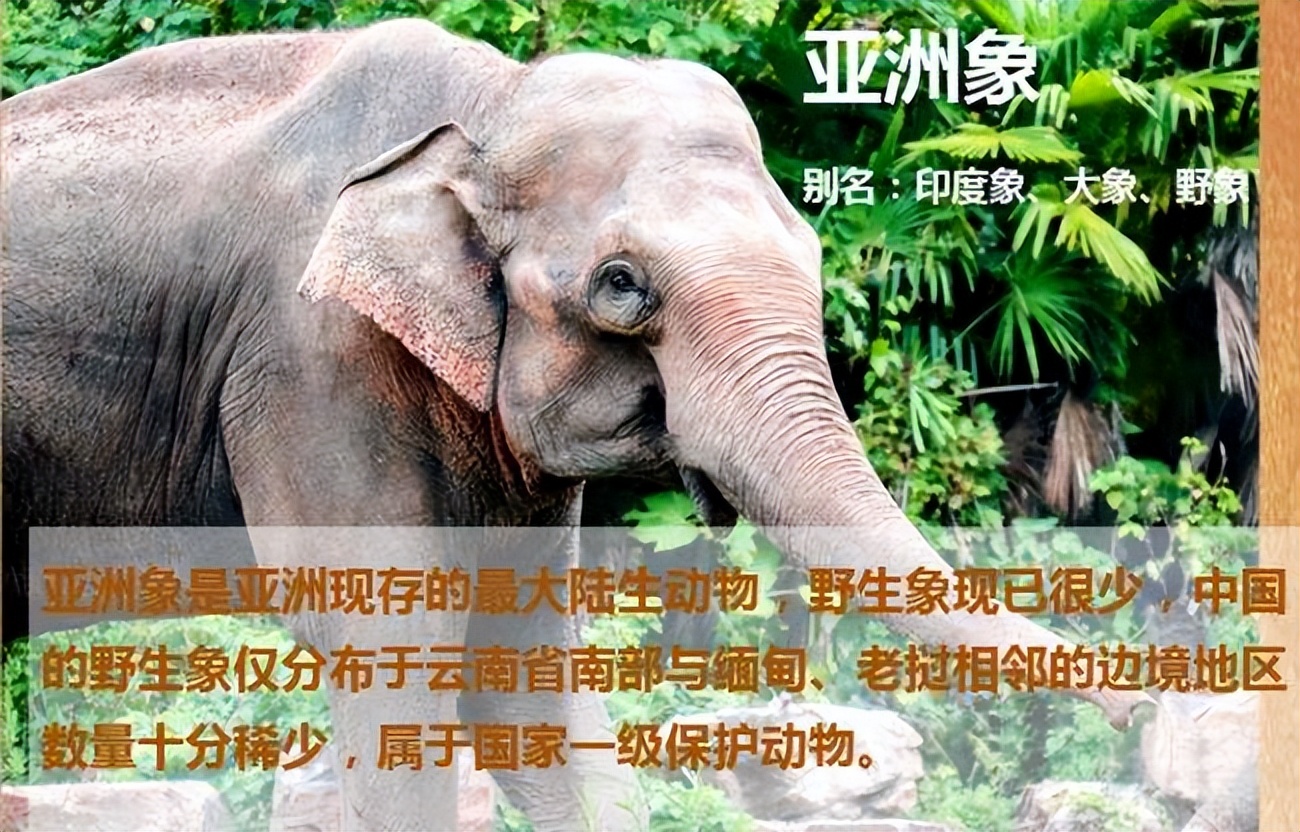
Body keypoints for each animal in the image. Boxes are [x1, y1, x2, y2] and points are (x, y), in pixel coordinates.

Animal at [1, 18, 1151, 832]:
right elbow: (392, 641)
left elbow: (524, 666)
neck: (492, 103)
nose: (1140, 714)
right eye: (621, 285)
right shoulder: (307, 353)